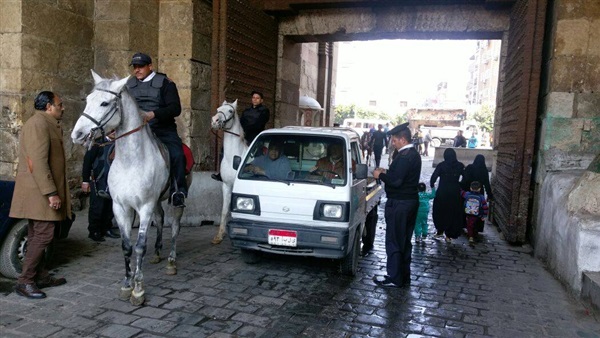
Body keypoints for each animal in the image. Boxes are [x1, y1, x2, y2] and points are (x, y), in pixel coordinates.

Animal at [73, 70, 190, 306]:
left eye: (104, 103)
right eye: (88, 100)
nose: (77, 134)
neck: (131, 161)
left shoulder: (144, 207)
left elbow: (139, 246)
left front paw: (138, 288)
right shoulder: (120, 207)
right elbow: (126, 247)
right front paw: (126, 285)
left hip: (175, 201)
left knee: (174, 226)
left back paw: (171, 261)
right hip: (156, 201)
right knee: (160, 219)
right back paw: (157, 253)